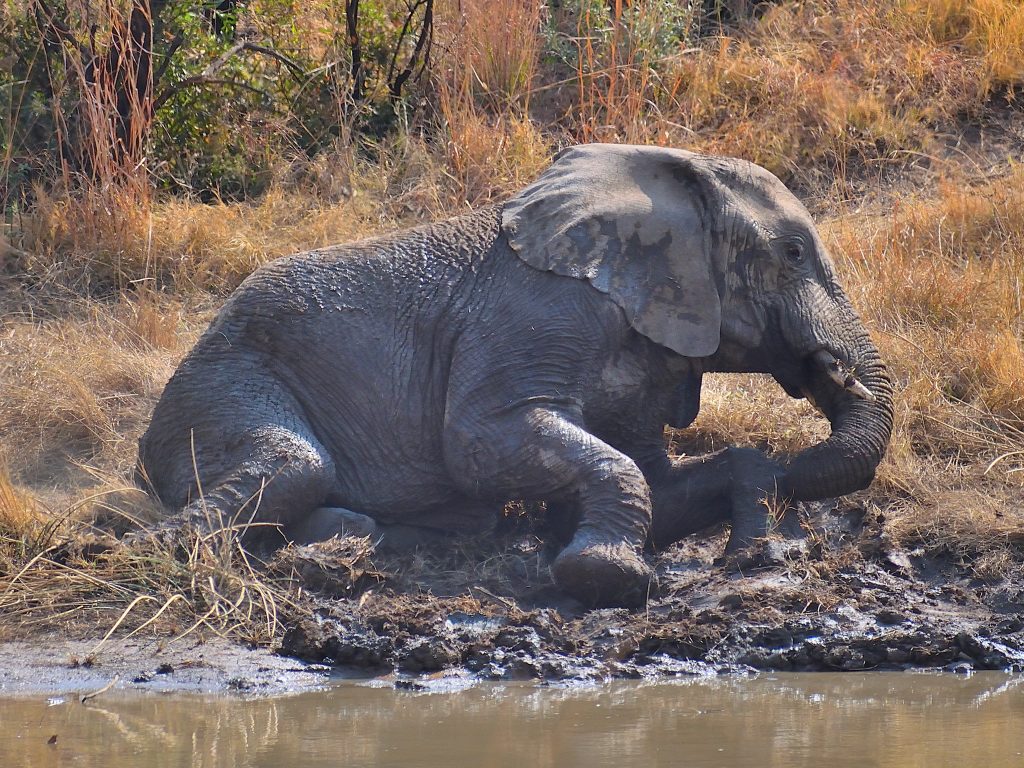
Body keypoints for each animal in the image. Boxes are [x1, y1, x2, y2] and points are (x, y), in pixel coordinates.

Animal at [134, 144, 888, 610]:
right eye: (792, 254)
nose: (832, 372)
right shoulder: (538, 315)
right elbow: (479, 443)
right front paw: (611, 576)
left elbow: (659, 479)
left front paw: (753, 532)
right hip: (222, 383)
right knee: (297, 462)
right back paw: (147, 544)